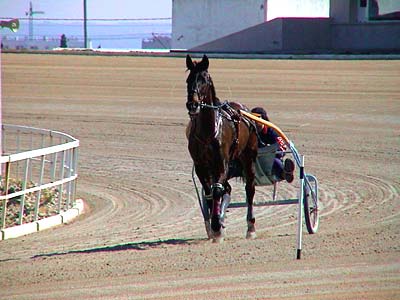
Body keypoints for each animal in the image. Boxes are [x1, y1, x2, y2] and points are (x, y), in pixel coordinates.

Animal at [185, 54, 258, 241]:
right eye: (188, 80)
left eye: (204, 80)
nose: (192, 105)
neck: (209, 131)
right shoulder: (201, 166)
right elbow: (209, 192)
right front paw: (214, 226)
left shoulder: (222, 162)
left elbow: (217, 191)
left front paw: (217, 227)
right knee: (226, 188)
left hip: (248, 157)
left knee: (249, 189)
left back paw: (250, 227)